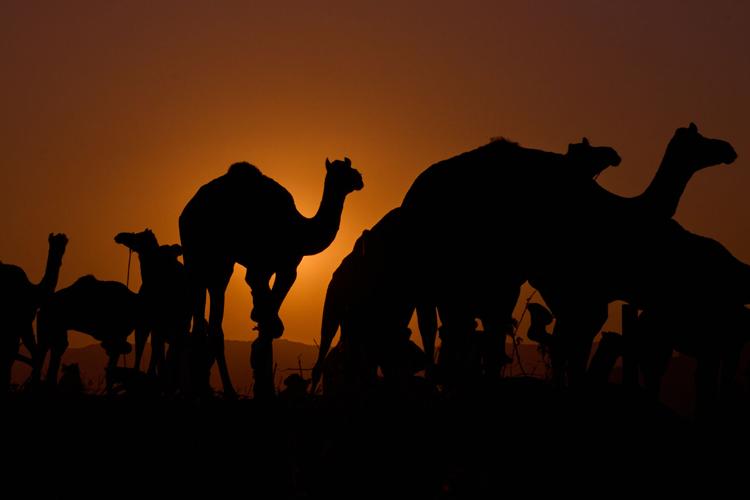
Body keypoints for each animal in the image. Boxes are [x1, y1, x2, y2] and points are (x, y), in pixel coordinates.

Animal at [0, 233, 68, 390]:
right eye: (51, 242)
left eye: (65, 242)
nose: (58, 251)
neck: (32, 292)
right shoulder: (21, 322)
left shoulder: (19, 325)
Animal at [114, 229, 190, 390]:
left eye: (138, 236)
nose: (120, 236)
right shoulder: (148, 323)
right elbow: (147, 348)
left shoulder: (155, 323)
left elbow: (152, 348)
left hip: (179, 324)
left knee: (174, 348)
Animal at [179, 158, 363, 398]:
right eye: (342, 171)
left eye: (349, 167)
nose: (359, 178)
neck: (300, 231)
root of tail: (187, 213)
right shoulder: (283, 267)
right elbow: (268, 318)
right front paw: (263, 382)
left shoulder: (267, 269)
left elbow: (265, 314)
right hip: (215, 260)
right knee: (214, 324)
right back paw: (228, 391)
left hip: (198, 262)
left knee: (201, 320)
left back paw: (201, 388)